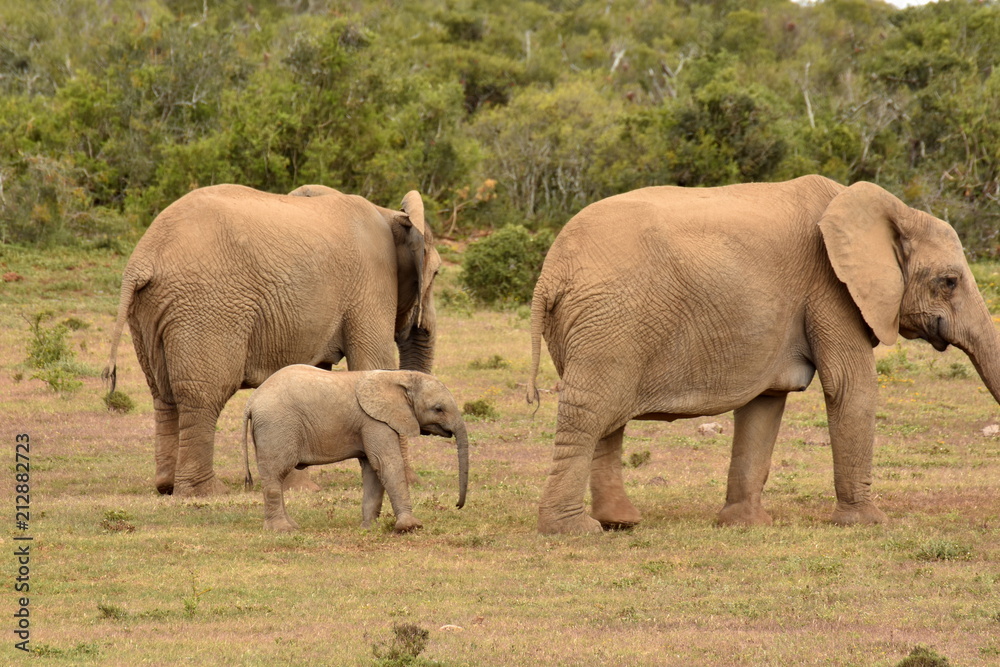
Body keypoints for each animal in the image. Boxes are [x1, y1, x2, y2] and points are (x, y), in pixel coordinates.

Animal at [103, 184, 440, 497]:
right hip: (206, 308)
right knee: (203, 393)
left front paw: (300, 487)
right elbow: (374, 367)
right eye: (436, 274)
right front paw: (408, 481)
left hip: (151, 310)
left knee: (162, 393)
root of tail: (142, 260)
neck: (390, 214)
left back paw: (167, 487)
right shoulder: (371, 283)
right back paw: (206, 492)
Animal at [241, 366, 469, 532]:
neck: (398, 375)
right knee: (276, 473)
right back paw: (282, 530)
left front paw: (369, 528)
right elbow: (387, 463)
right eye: (438, 409)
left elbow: (373, 469)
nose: (457, 505)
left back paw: (292, 526)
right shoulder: (374, 421)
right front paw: (410, 527)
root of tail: (252, 401)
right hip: (277, 425)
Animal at [526, 175, 1000, 534]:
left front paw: (745, 525)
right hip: (610, 321)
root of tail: (551, 272)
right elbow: (851, 386)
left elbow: (765, 404)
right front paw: (869, 524)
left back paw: (620, 523)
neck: (894, 209)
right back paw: (573, 530)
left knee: (608, 417)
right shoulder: (830, 288)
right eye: (949, 281)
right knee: (591, 412)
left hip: (598, 326)